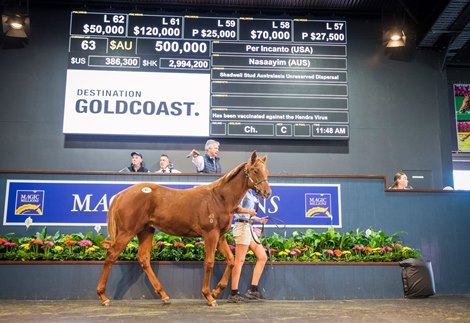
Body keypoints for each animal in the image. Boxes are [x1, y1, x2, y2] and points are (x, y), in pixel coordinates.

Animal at [96, 152, 272, 306]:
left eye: (266, 171)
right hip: (127, 231)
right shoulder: (210, 234)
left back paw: (164, 295)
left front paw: (216, 291)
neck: (219, 199)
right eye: (256, 170)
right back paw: (103, 297)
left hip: (146, 231)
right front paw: (208, 296)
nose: (267, 192)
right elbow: (209, 262)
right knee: (111, 255)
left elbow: (231, 261)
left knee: (144, 259)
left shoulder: (220, 236)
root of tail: (121, 195)